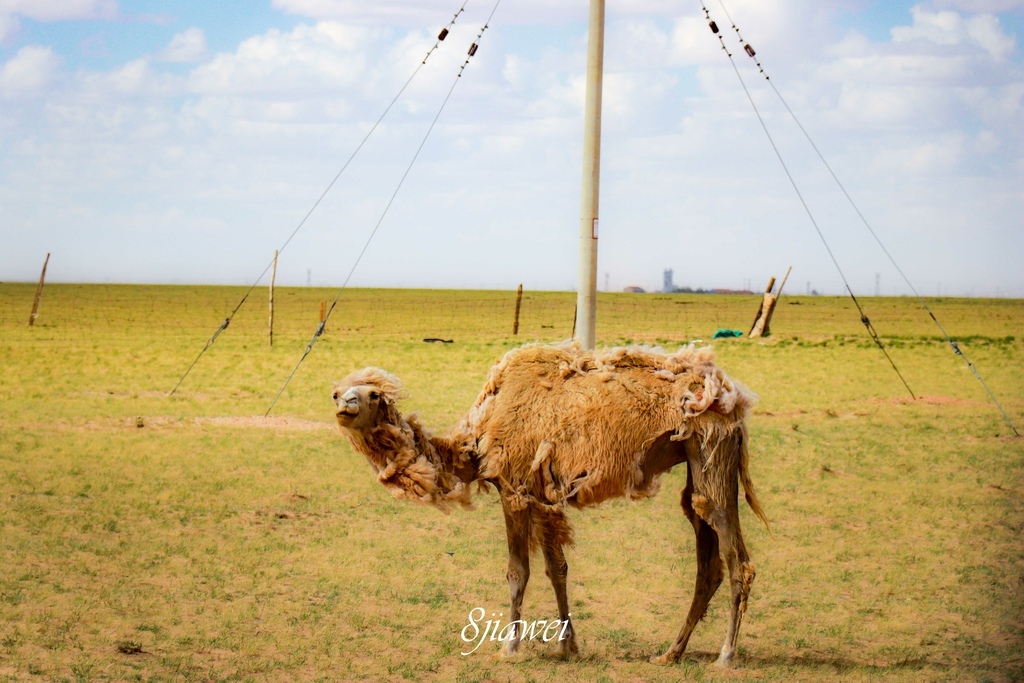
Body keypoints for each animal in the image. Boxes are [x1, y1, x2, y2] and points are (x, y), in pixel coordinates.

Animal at [329, 344, 770, 663]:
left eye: (371, 394)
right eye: (336, 390)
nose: (343, 404)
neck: (480, 431)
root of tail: (730, 399)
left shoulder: (514, 489)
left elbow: (518, 571)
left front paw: (509, 648)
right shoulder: (542, 494)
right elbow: (556, 569)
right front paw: (567, 645)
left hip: (712, 449)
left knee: (737, 560)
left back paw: (726, 655)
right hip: (696, 464)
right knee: (707, 558)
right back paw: (670, 654)